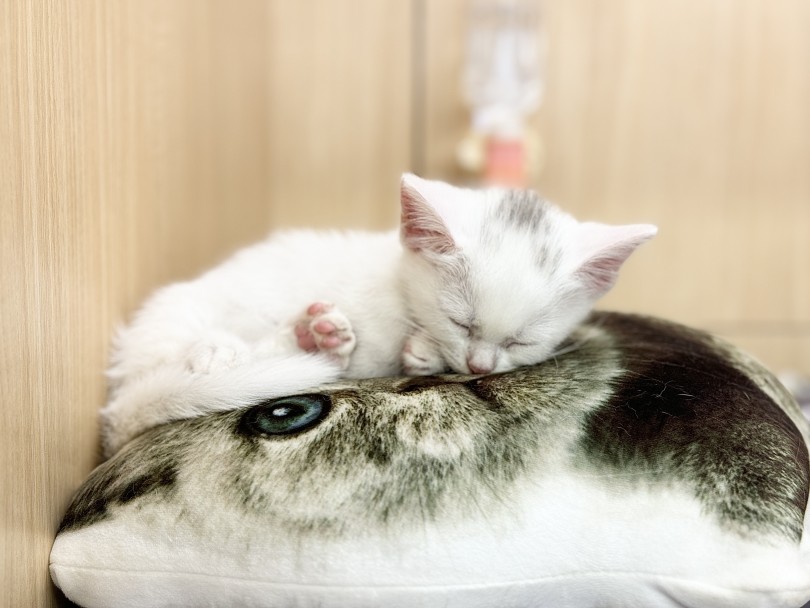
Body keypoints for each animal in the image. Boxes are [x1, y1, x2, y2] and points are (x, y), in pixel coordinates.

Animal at [99, 173, 656, 454]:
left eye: (521, 342)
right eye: (461, 321)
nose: (478, 366)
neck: (400, 291)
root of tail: (120, 410)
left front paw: (424, 355)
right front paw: (427, 351)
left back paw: (315, 337)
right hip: (180, 324)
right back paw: (236, 348)